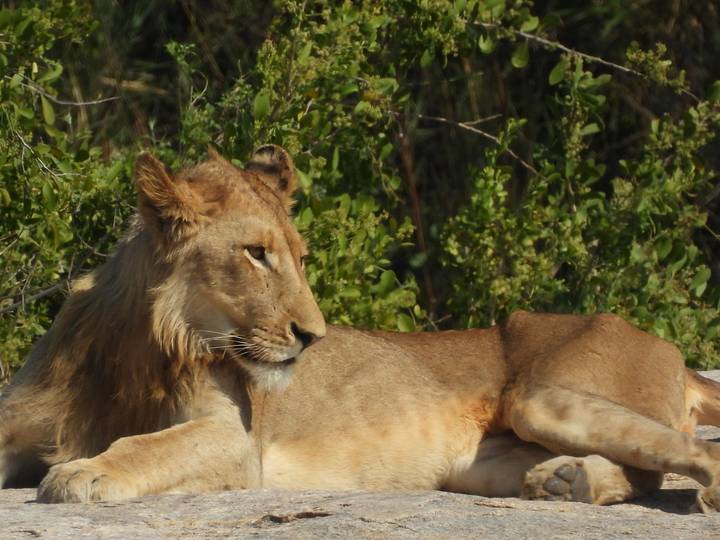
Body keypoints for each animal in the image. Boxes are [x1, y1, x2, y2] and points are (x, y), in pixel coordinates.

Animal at [2, 145, 720, 512]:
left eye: (300, 255)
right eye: (256, 254)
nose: (313, 336)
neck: (139, 349)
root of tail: (675, 355)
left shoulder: (237, 442)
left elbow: (147, 445)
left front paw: (82, 472)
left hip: (540, 397)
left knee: (692, 456)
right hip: (481, 466)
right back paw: (565, 483)